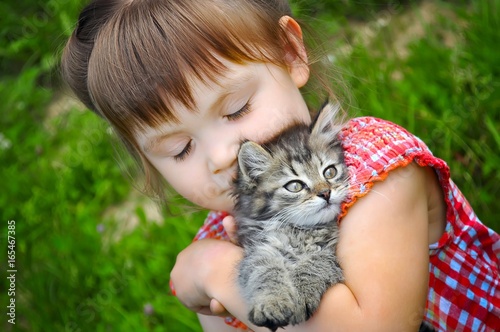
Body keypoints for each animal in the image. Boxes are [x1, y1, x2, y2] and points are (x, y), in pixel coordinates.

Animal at [231, 102, 346, 330]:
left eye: (329, 172)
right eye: (295, 186)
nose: (326, 193)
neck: (300, 231)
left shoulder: (330, 252)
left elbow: (314, 264)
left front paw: (301, 296)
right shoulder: (259, 249)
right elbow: (265, 272)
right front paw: (271, 303)